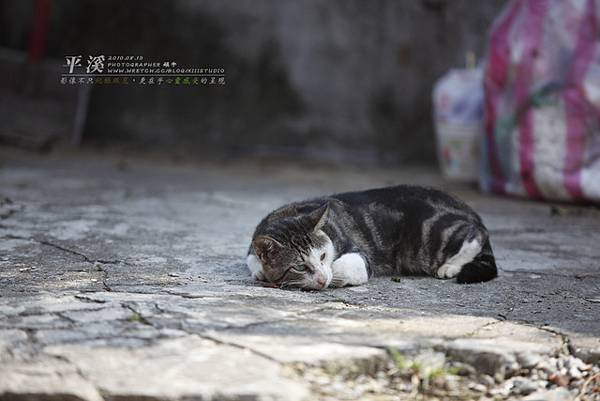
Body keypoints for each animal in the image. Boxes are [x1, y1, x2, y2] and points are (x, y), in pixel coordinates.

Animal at [245, 186, 496, 290]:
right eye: (299, 266)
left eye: (323, 255)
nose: (322, 278)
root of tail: (469, 211)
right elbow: (252, 259)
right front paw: (260, 271)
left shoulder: (357, 251)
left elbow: (347, 266)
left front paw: (334, 275)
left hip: (432, 235)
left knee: (476, 235)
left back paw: (451, 266)